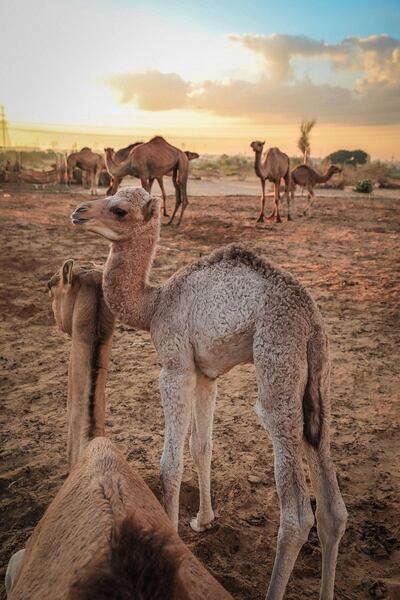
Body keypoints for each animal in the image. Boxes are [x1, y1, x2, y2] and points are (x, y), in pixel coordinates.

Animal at [72, 188, 346, 600]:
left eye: (119, 209)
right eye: (109, 191)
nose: (78, 211)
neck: (154, 304)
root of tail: (310, 319)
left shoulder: (176, 366)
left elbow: (169, 464)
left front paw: (173, 538)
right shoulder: (206, 374)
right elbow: (201, 446)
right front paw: (203, 520)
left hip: (277, 362)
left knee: (298, 512)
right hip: (319, 379)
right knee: (332, 506)